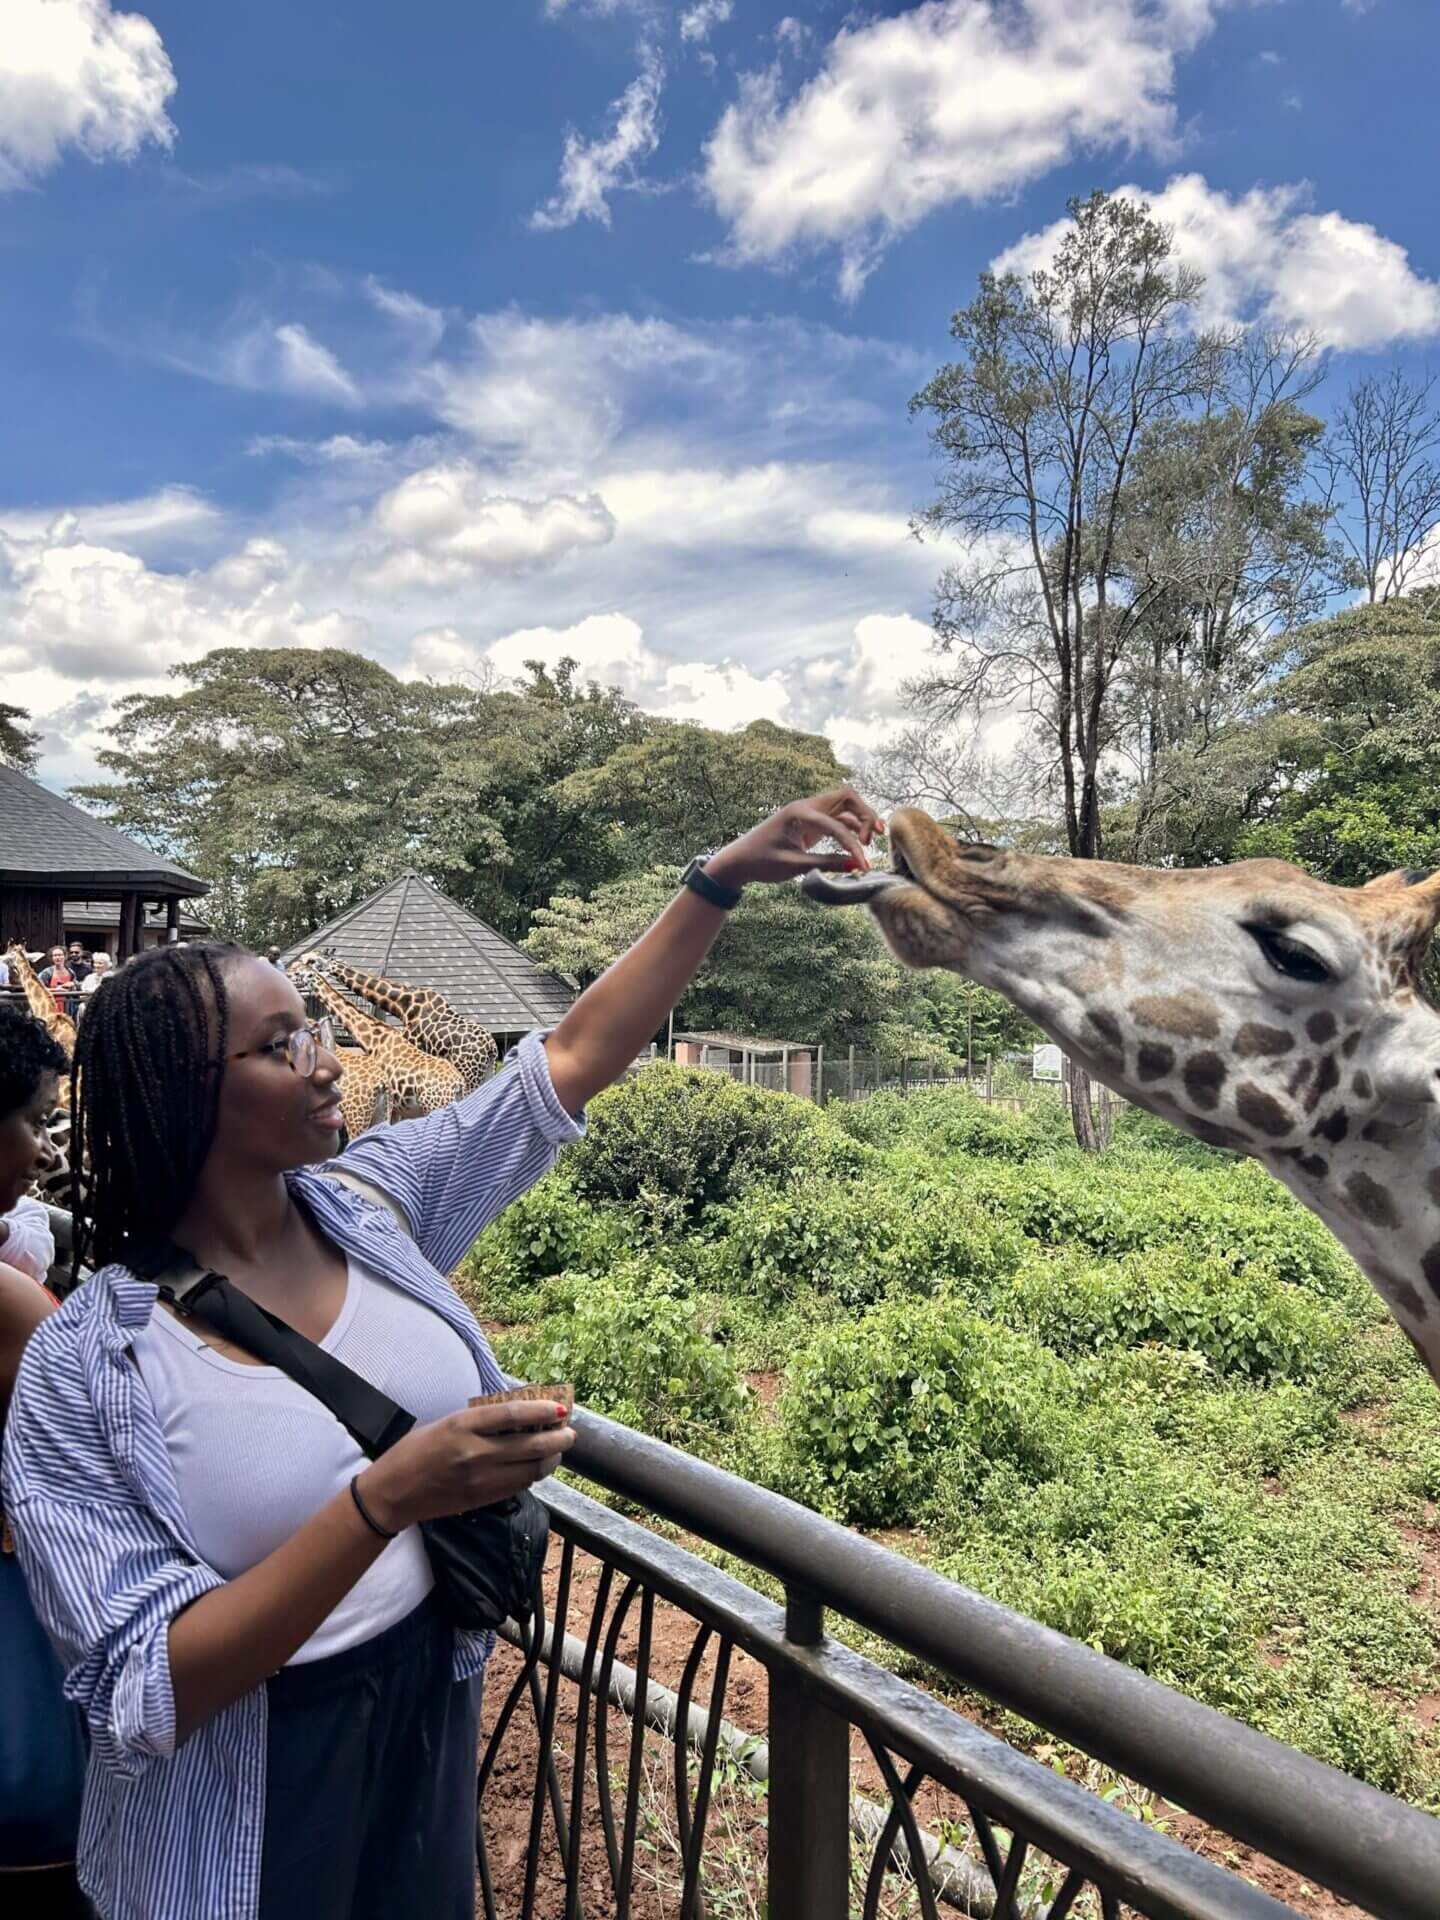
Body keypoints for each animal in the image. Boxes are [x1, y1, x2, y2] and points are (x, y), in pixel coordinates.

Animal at [305, 950, 498, 1092]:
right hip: (486, 1073)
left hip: (469, 1074)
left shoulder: (412, 1044)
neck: (403, 1004)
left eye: (311, 961)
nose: (301, 960)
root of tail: (491, 1048)